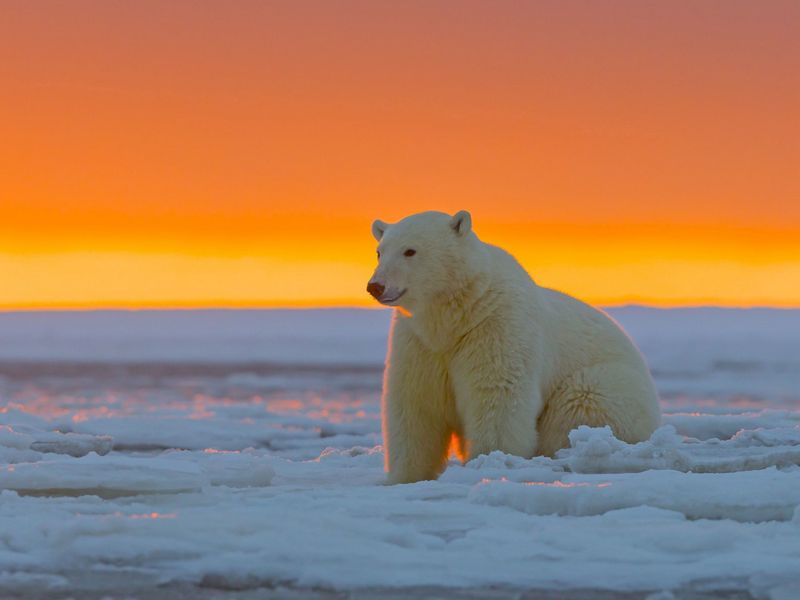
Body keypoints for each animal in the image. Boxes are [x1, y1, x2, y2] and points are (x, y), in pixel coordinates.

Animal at [367, 210, 661, 484]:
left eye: (410, 250)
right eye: (380, 252)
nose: (375, 286)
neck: (456, 316)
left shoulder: (496, 326)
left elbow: (497, 397)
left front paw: (490, 461)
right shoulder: (419, 342)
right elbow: (415, 404)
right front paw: (405, 476)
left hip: (608, 387)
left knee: (581, 403)